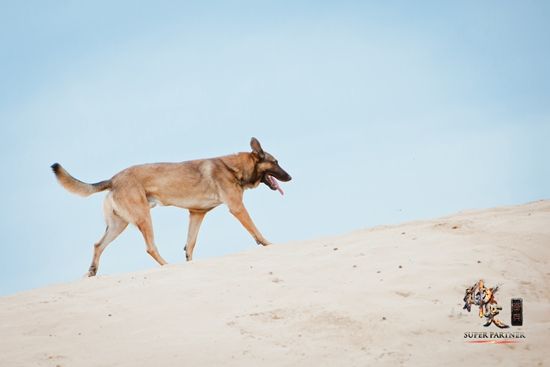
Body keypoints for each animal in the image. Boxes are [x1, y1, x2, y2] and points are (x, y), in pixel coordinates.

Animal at [51, 137, 294, 276]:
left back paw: (92, 271)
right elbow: (255, 230)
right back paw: (166, 265)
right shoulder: (237, 208)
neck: (233, 167)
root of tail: (113, 179)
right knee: (150, 247)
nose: (291, 178)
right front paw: (268, 244)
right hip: (143, 217)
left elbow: (190, 244)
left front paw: (190, 263)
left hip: (118, 225)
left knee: (98, 245)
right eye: (276, 162)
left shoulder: (196, 214)